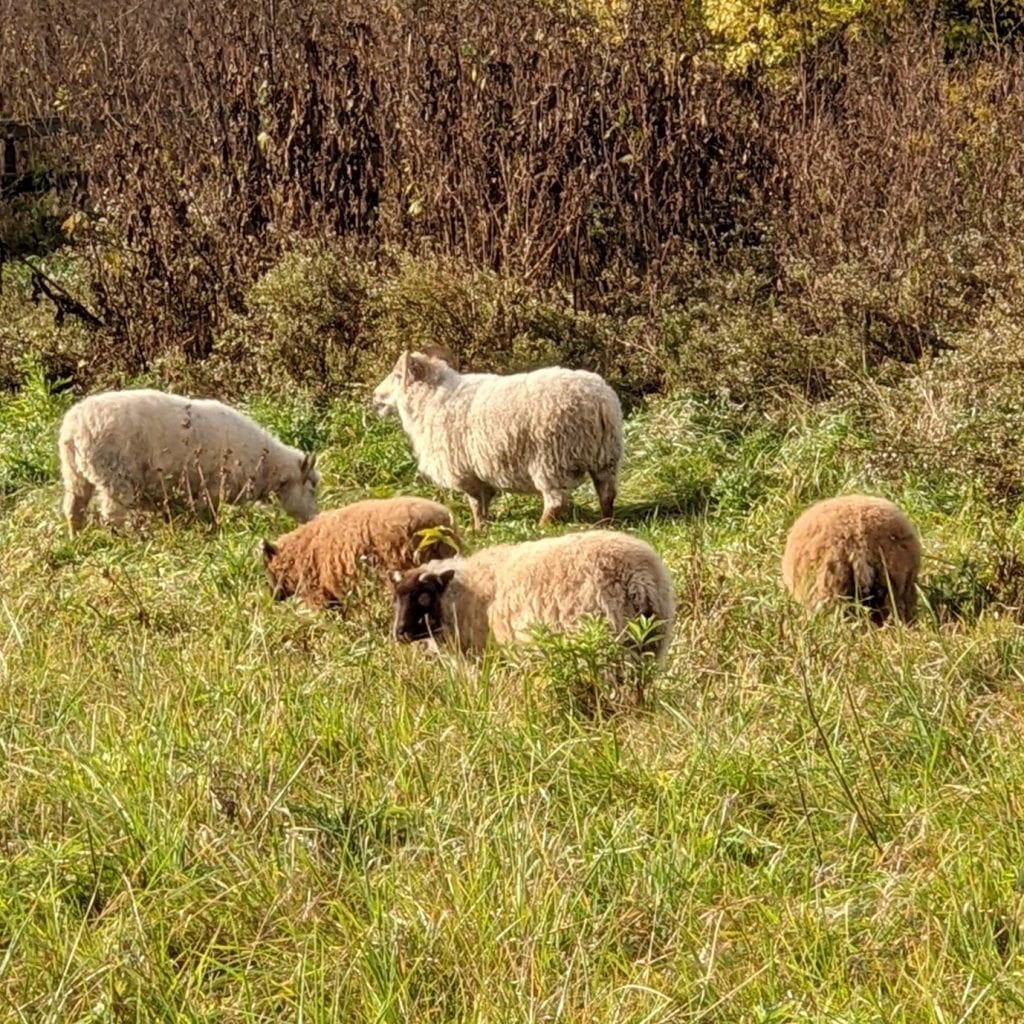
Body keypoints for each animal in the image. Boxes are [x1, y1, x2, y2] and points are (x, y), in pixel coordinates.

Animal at [58, 385, 319, 536]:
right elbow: (210, 515)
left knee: (73, 509)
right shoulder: (211, 488)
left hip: (74, 474)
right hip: (116, 477)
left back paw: (76, 539)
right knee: (112, 517)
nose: (314, 519)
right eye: (311, 489)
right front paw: (210, 532)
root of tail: (74, 428)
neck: (264, 465)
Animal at [372, 350, 618, 528]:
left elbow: (475, 503)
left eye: (397, 376)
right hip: (606, 456)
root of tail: (599, 401)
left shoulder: (463, 469)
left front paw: (478, 528)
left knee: (556, 500)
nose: (375, 395)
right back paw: (605, 522)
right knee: (607, 492)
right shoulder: (479, 470)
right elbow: (485, 498)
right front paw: (485, 524)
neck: (430, 399)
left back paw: (542, 526)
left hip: (552, 460)